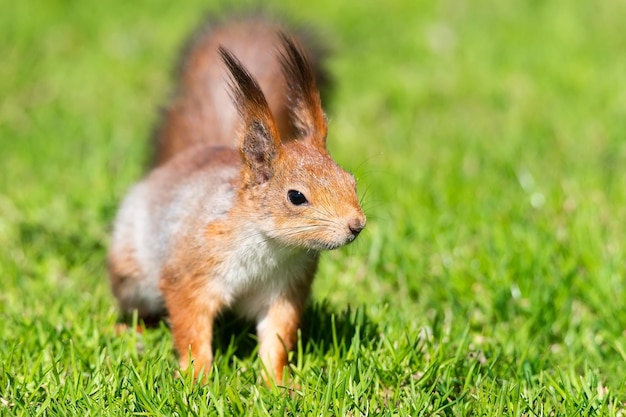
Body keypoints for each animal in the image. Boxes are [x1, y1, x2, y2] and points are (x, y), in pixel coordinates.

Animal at [105, 14, 364, 382]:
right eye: (296, 196)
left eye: (350, 180)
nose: (356, 225)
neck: (270, 245)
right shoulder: (191, 276)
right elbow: (190, 329)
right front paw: (196, 378)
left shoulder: (284, 291)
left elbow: (277, 339)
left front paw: (278, 383)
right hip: (130, 273)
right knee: (142, 310)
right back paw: (130, 330)